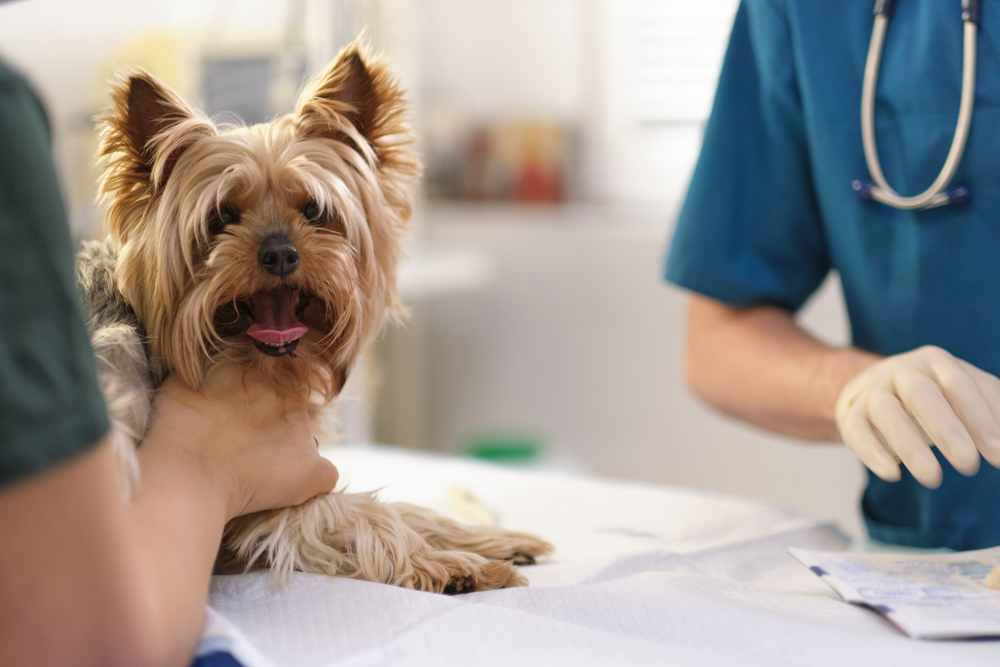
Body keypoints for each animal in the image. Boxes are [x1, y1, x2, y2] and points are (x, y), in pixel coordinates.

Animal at [74, 40, 552, 596]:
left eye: (316, 212)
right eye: (221, 218)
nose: (280, 253)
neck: (270, 367)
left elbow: (408, 508)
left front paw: (486, 538)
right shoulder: (264, 497)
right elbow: (357, 511)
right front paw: (452, 563)